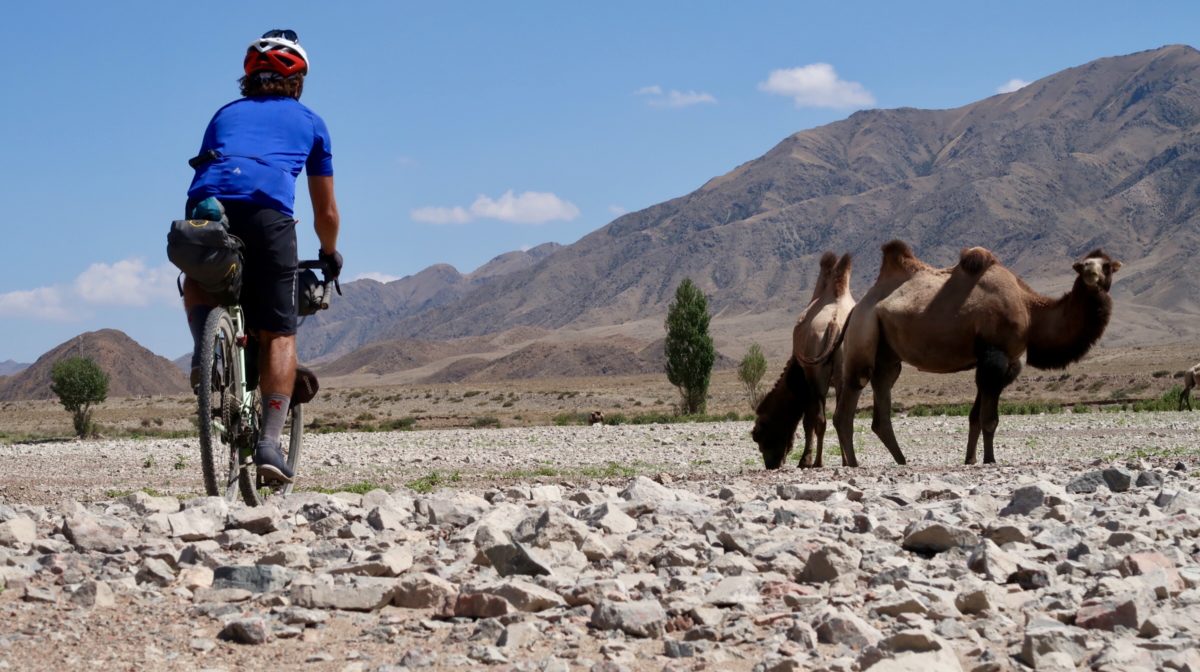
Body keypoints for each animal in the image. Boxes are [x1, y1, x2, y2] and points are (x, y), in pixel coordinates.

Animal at [748, 250, 854, 468]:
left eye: (760, 437)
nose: (771, 464)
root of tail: (834, 323)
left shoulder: (805, 386)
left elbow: (807, 423)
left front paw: (805, 460)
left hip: (818, 373)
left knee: (821, 420)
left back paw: (818, 462)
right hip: (843, 367)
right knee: (841, 416)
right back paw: (846, 461)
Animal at [830, 241, 1118, 468]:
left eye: (1107, 266)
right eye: (1083, 266)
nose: (1092, 275)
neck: (1031, 311)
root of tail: (857, 308)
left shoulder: (1000, 362)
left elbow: (975, 417)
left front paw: (970, 459)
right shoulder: (996, 355)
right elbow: (989, 419)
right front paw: (990, 459)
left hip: (887, 353)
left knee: (882, 395)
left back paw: (902, 461)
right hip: (864, 331)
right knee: (851, 395)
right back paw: (854, 463)